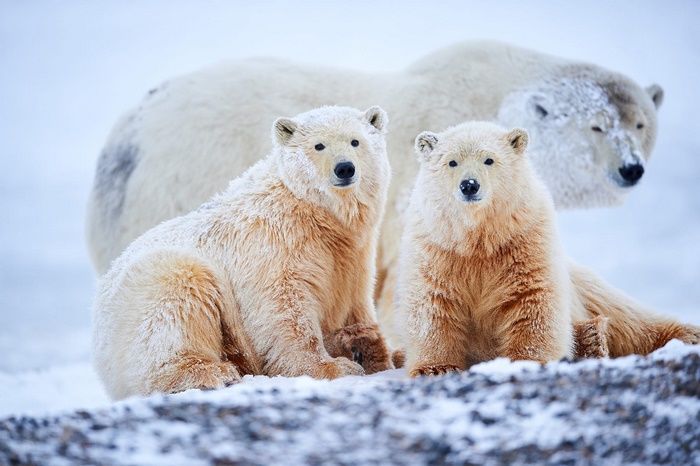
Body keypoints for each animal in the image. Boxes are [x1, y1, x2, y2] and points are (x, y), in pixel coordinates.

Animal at [85, 40, 664, 348]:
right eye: (596, 126)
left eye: (640, 122)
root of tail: (125, 135)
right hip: (178, 178)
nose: (631, 169)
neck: (494, 97)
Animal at [91, 106, 393, 400]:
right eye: (319, 145)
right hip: (155, 285)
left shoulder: (354, 253)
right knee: (177, 306)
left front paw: (374, 353)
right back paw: (212, 371)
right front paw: (334, 367)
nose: (345, 168)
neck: (313, 214)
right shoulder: (273, 243)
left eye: (356, 141)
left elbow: (356, 300)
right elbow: (284, 308)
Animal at [396, 122, 699, 376]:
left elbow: (533, 298)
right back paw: (592, 339)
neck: (480, 238)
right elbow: (433, 304)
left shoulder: (525, 240)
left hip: (581, 282)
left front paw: (529, 359)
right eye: (452, 162)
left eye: (489, 159)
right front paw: (436, 368)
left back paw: (682, 334)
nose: (469, 185)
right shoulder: (438, 248)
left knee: (626, 315)